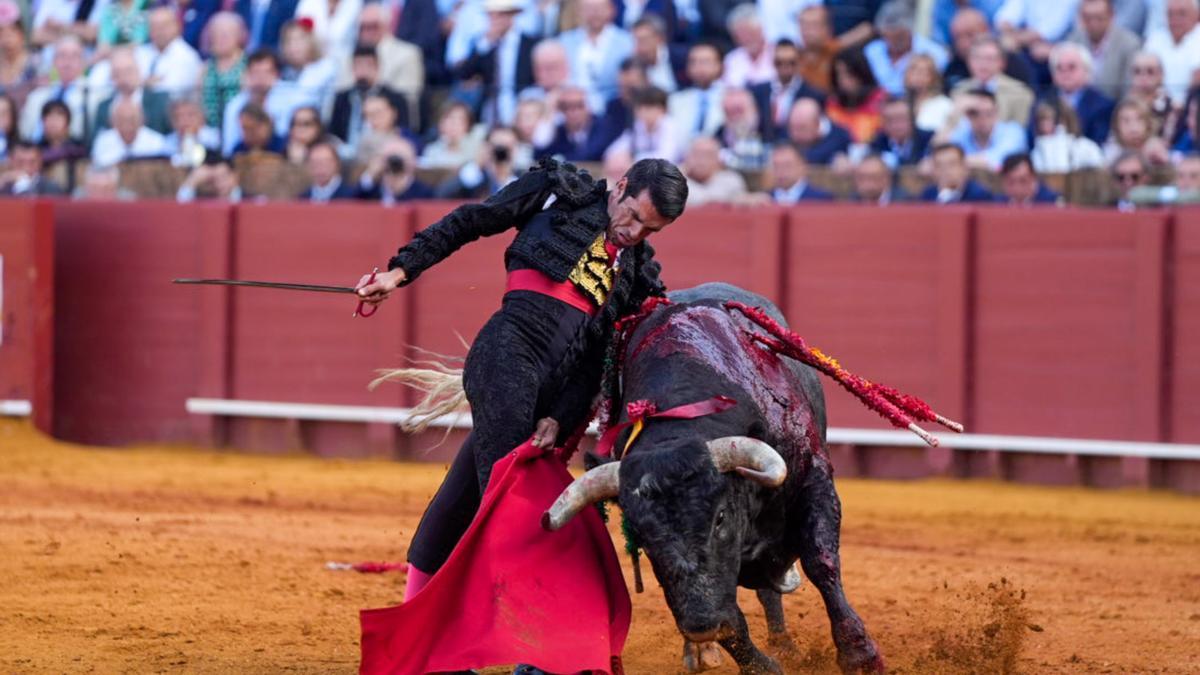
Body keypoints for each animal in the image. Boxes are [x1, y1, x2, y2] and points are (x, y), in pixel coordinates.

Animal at [549, 281, 888, 667]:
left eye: (721, 517)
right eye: (641, 536)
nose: (699, 626)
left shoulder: (813, 478)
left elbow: (821, 560)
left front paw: (859, 655)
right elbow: (730, 617)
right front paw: (760, 666)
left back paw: (782, 642)